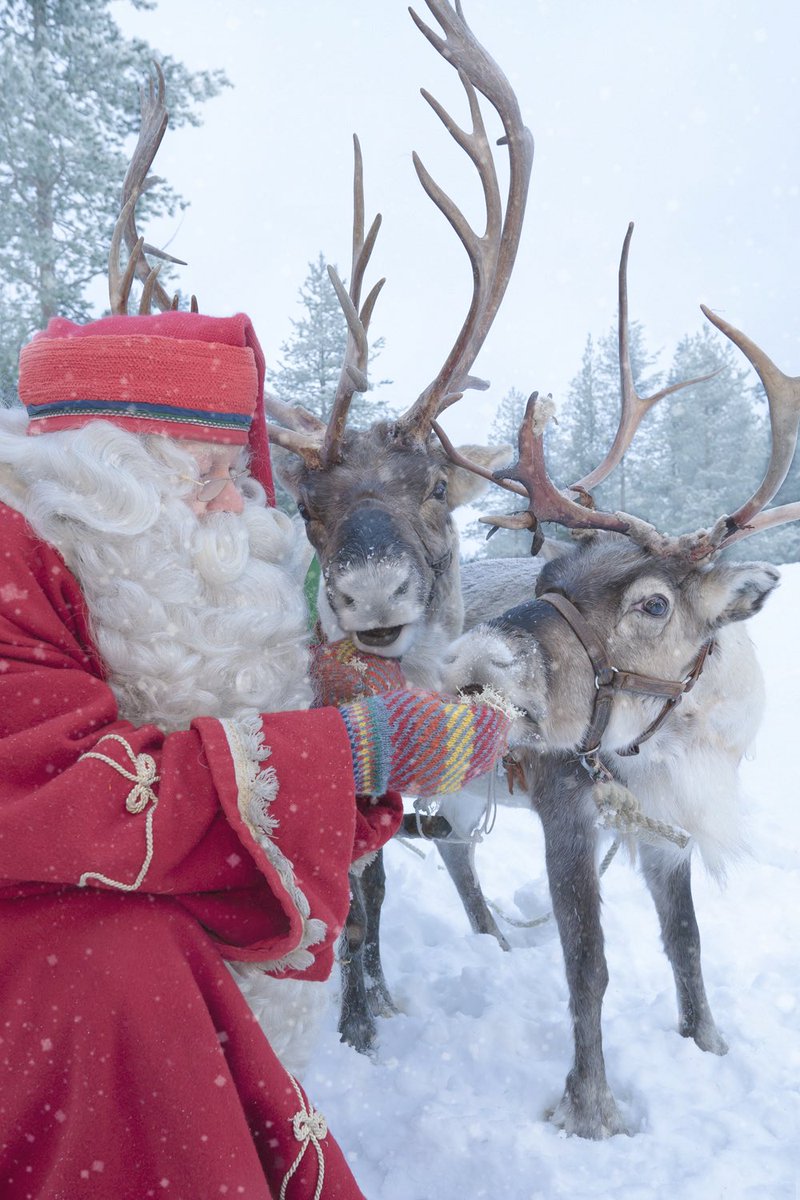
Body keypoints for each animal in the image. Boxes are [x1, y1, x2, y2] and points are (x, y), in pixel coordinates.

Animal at [435, 296, 800, 1138]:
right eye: (549, 575)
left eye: (653, 604)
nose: (468, 660)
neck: (674, 744)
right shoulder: (564, 805)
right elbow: (588, 963)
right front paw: (591, 1107)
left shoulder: (667, 830)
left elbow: (686, 943)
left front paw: (708, 1043)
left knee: (450, 843)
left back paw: (491, 937)